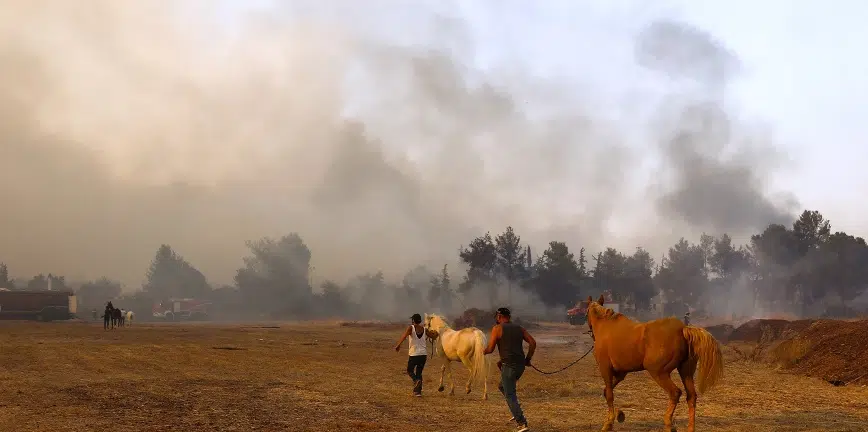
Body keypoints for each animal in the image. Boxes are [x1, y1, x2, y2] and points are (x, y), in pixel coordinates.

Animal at [588, 296, 724, 432]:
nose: (590, 332)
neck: (606, 327)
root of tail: (682, 329)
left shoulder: (605, 369)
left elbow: (609, 394)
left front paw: (608, 423)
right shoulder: (621, 373)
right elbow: (607, 391)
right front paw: (619, 415)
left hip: (659, 373)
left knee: (675, 393)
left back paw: (669, 424)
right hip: (686, 372)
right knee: (691, 397)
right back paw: (690, 427)